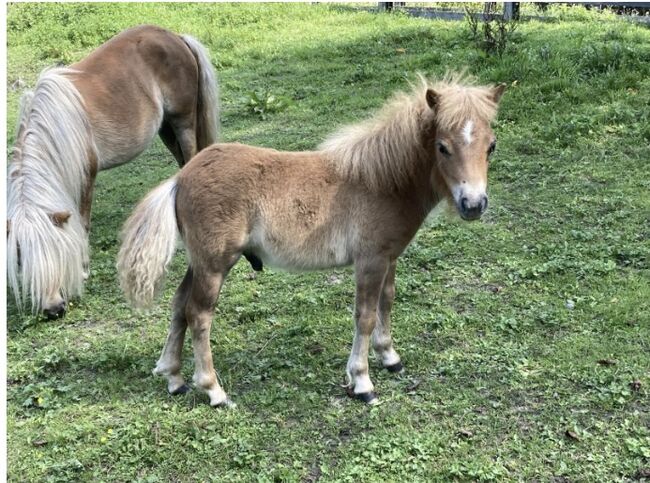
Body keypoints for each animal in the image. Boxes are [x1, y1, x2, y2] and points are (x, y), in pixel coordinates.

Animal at [7, 25, 219, 318]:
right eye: (22, 260)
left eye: (58, 253)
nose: (54, 310)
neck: (56, 125)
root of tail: (174, 36)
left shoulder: (87, 176)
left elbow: (82, 224)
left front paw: (84, 269)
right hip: (166, 128)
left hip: (182, 121)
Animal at [116, 75, 504, 408]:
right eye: (442, 147)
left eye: (491, 146)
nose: (473, 204)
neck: (382, 180)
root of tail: (181, 177)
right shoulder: (370, 260)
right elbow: (365, 315)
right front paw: (362, 382)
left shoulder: (389, 256)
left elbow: (387, 303)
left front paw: (390, 357)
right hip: (214, 264)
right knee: (198, 314)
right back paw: (213, 390)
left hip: (200, 262)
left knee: (179, 305)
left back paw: (174, 378)